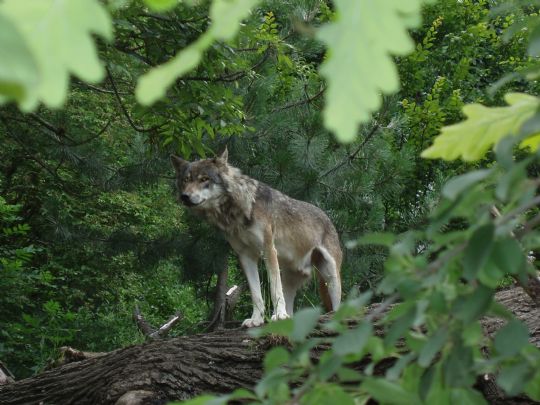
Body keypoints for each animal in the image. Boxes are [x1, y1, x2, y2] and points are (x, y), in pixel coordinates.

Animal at [172, 148, 342, 326]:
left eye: (204, 179)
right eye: (185, 180)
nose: (185, 196)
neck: (237, 212)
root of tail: (327, 217)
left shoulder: (269, 251)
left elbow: (274, 289)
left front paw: (278, 316)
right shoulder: (245, 256)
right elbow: (256, 294)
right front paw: (256, 319)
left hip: (331, 278)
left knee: (338, 304)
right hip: (290, 280)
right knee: (290, 306)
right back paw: (287, 317)